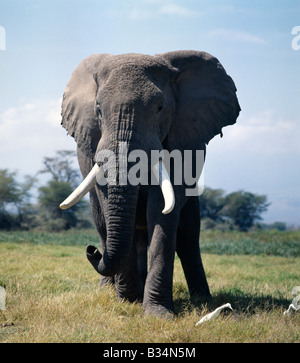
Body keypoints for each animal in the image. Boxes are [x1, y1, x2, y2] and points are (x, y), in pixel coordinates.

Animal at [59, 51, 240, 318]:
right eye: (99, 110)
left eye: (160, 108)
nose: (90, 250)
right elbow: (111, 205)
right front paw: (128, 301)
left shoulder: (181, 144)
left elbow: (161, 210)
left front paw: (158, 313)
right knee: (104, 224)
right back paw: (110, 290)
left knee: (188, 235)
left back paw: (202, 299)